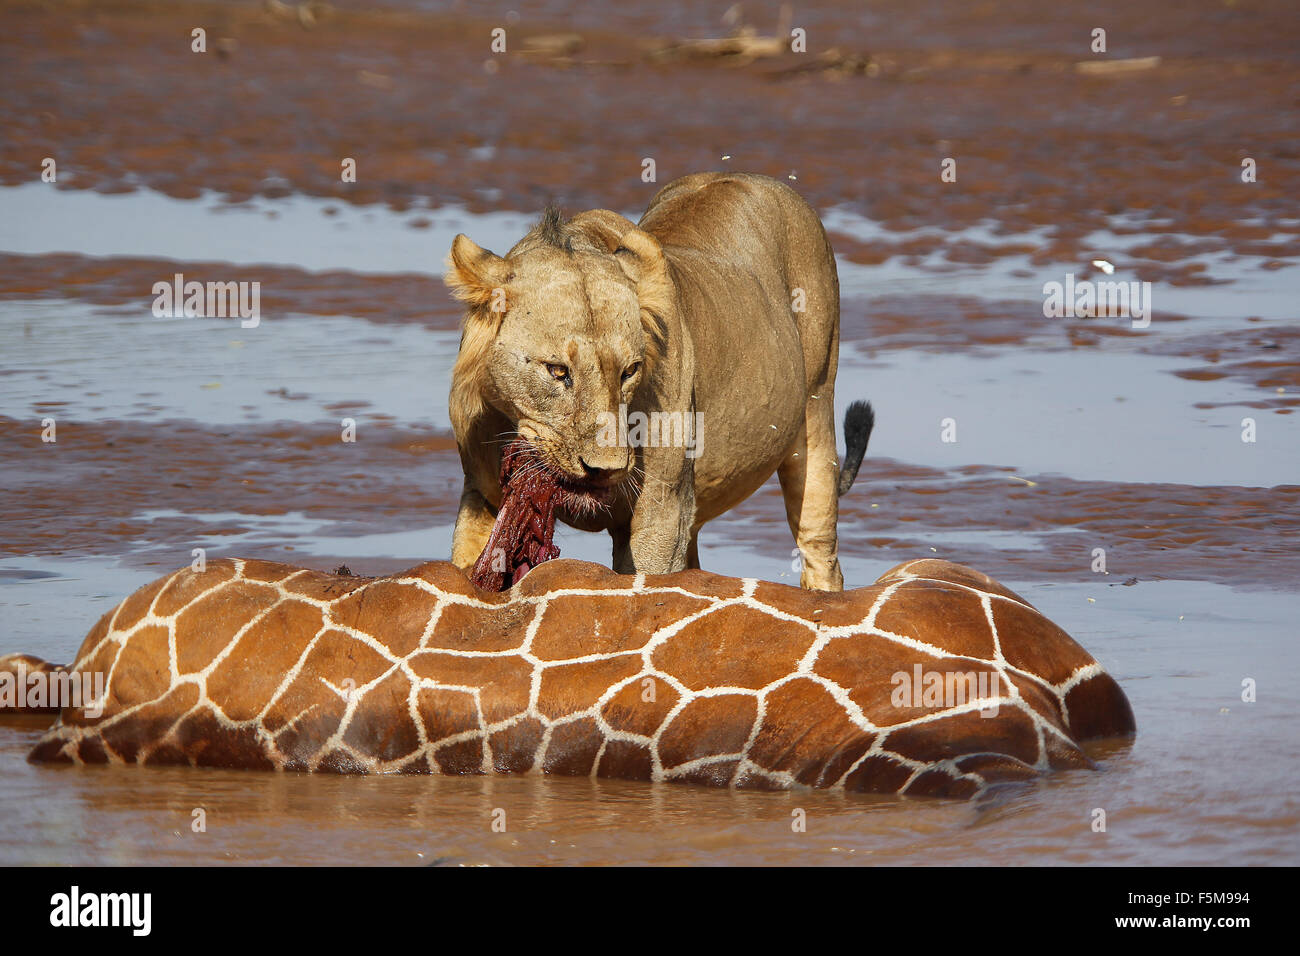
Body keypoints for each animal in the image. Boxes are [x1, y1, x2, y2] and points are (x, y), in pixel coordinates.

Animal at [444, 171, 873, 590]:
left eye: (629, 371)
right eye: (558, 371)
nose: (605, 469)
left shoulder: (662, 510)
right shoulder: (481, 493)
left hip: (816, 414)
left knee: (820, 550)